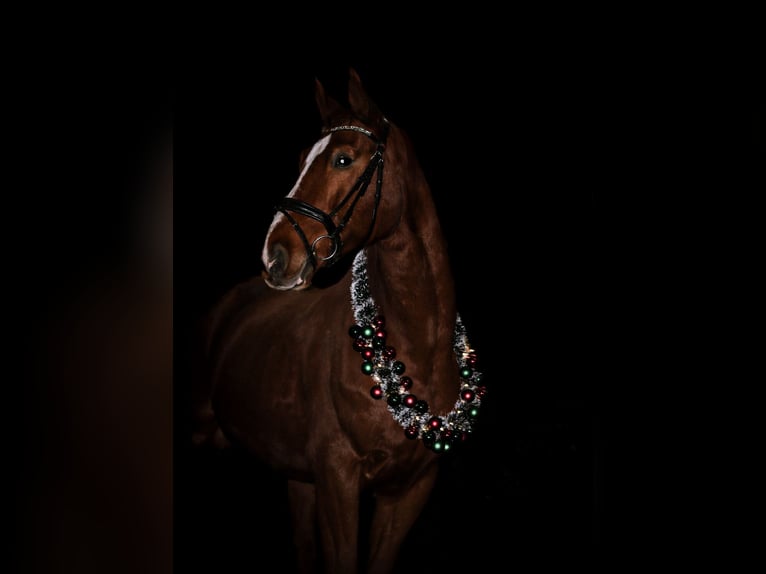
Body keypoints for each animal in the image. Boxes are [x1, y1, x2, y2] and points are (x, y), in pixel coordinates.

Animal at [195, 68, 487, 574]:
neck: (415, 350)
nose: (275, 256)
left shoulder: (408, 491)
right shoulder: (337, 480)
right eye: (300, 159)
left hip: (298, 478)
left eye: (343, 159)